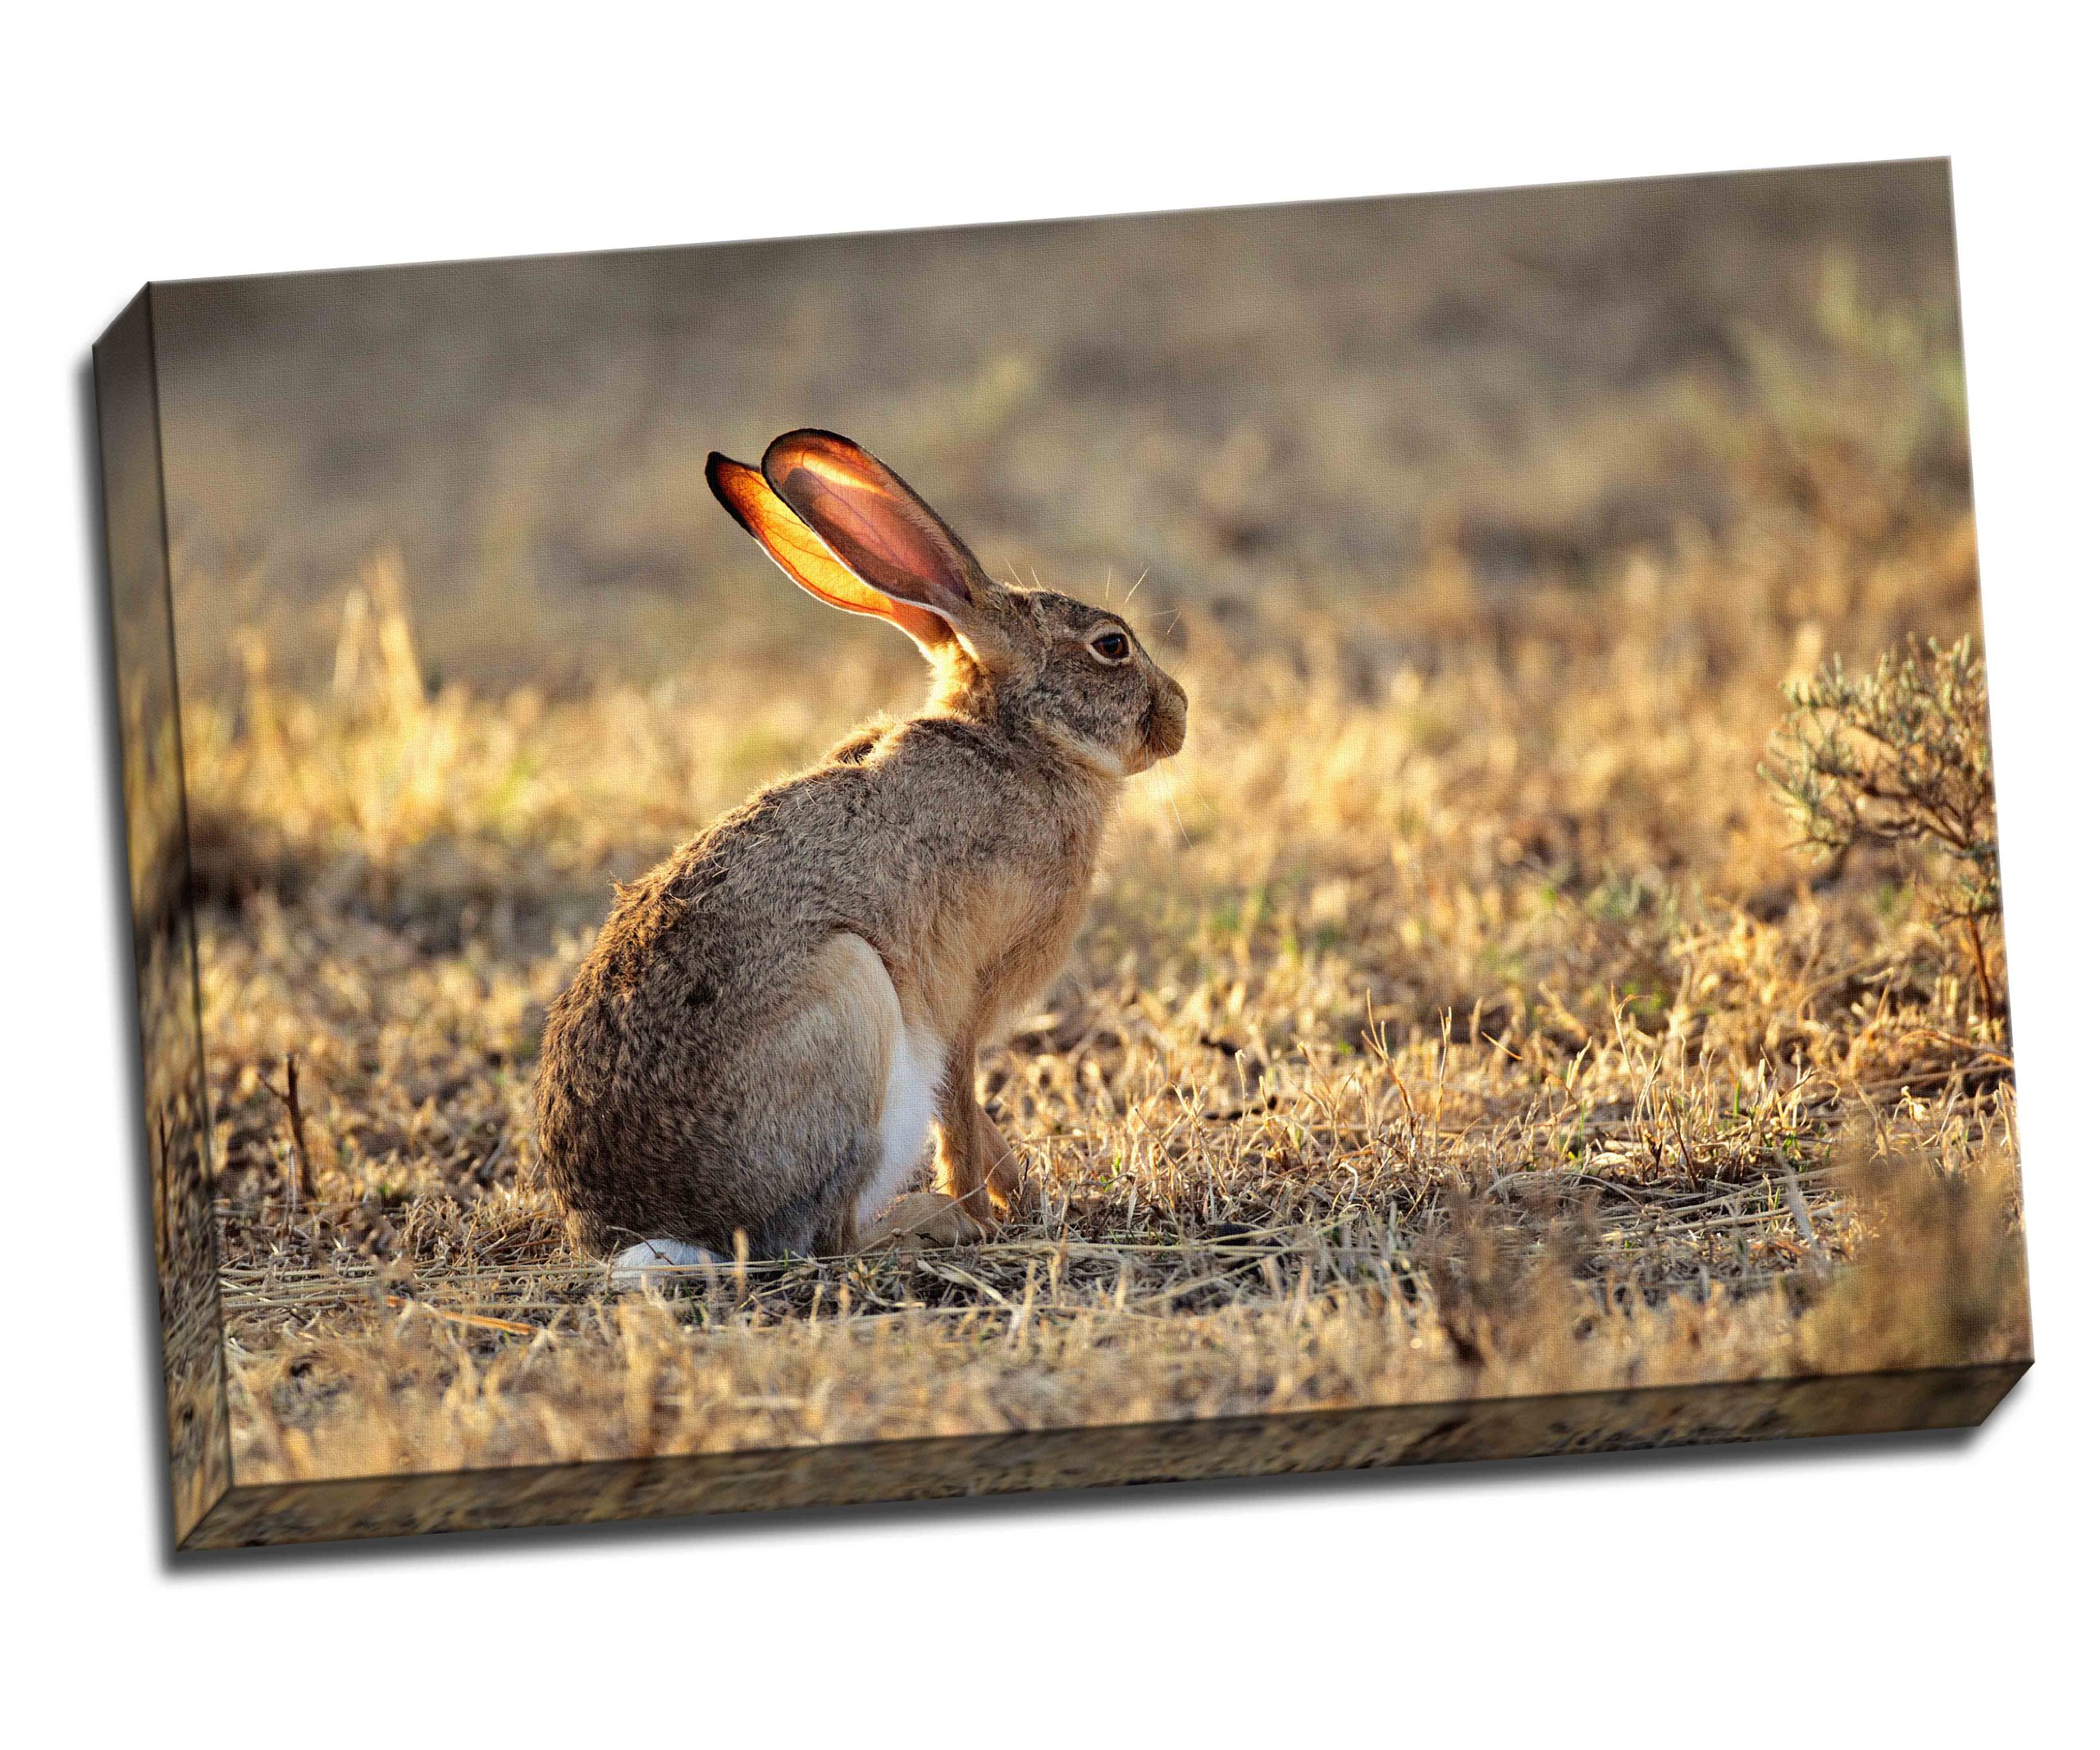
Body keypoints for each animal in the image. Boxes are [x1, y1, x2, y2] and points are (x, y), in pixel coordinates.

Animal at [534, 429, 1187, 1289]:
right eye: (1112, 646)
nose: (1180, 714)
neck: (1018, 741)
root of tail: (659, 1230)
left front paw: (1018, 1189)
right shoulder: (961, 1001)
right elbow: (959, 1107)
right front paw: (994, 1206)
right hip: (853, 998)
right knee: (826, 1233)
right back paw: (927, 1223)